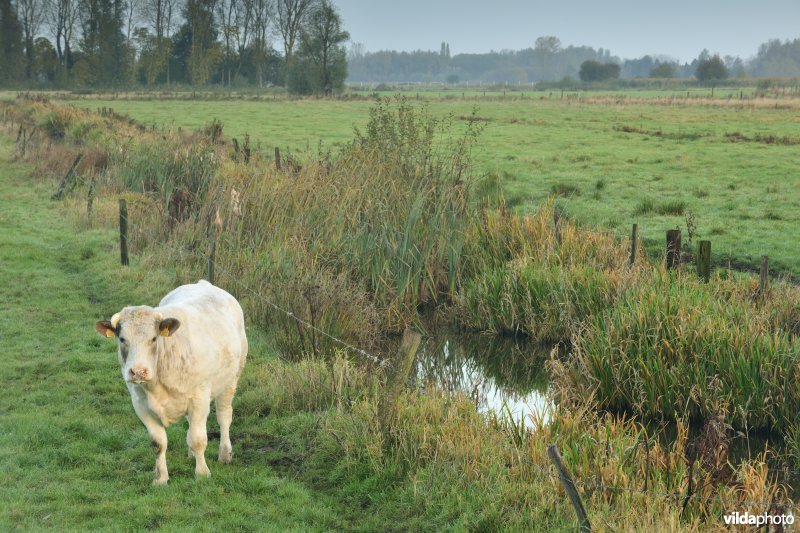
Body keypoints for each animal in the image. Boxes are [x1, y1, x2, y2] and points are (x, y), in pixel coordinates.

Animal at [93, 280, 245, 484]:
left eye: (153, 338)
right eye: (122, 339)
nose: (138, 371)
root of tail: (203, 283)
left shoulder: (199, 400)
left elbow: (198, 439)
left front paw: (202, 474)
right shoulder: (140, 405)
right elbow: (158, 443)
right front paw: (160, 478)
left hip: (231, 380)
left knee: (224, 416)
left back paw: (225, 454)